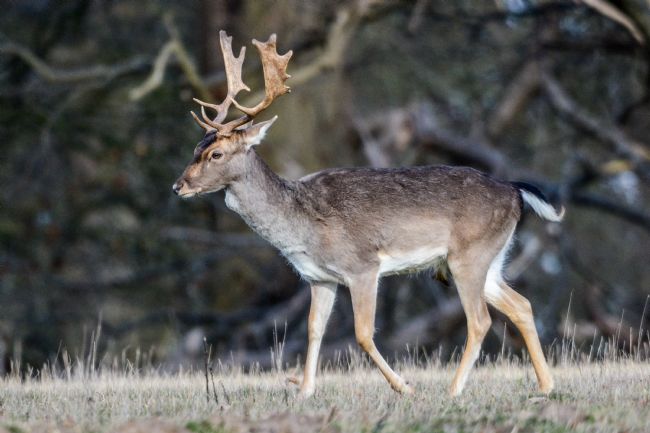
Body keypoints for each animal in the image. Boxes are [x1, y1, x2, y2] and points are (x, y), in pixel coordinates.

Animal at [173, 31, 563, 398]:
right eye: (194, 148)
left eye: (216, 154)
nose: (178, 185)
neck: (300, 225)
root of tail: (514, 190)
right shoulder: (319, 278)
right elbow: (314, 329)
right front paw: (305, 391)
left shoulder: (362, 265)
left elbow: (361, 333)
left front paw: (404, 387)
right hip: (491, 259)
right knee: (522, 305)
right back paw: (546, 386)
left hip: (469, 254)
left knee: (480, 320)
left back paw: (453, 390)